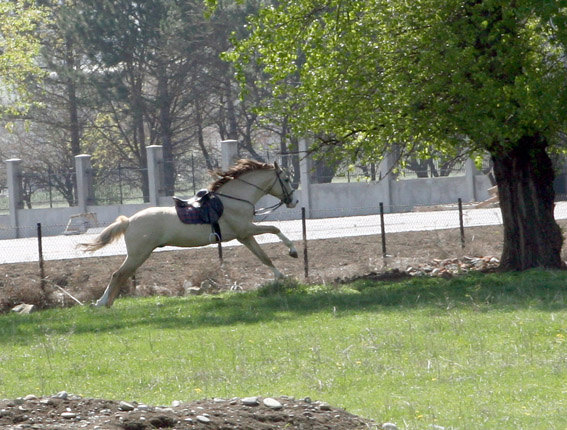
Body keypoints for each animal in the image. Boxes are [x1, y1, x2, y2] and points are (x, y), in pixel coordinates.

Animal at [82, 160, 302, 308]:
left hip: (138, 255)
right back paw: (101, 303)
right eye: (286, 179)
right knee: (118, 274)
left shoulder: (245, 236)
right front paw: (292, 252)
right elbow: (275, 230)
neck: (234, 199)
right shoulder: (246, 230)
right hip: (139, 254)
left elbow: (263, 257)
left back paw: (108, 303)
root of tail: (129, 221)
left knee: (122, 275)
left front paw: (280, 276)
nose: (294, 201)